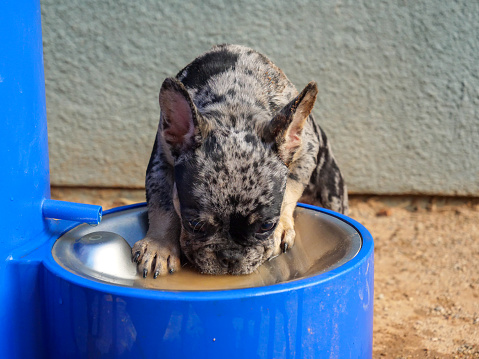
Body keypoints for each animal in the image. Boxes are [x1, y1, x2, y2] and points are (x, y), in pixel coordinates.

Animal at [131, 43, 348, 278]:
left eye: (266, 226)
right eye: (194, 224)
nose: (230, 257)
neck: (234, 107)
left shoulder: (306, 152)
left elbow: (290, 190)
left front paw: (281, 228)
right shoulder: (161, 161)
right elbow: (163, 205)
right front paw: (159, 246)